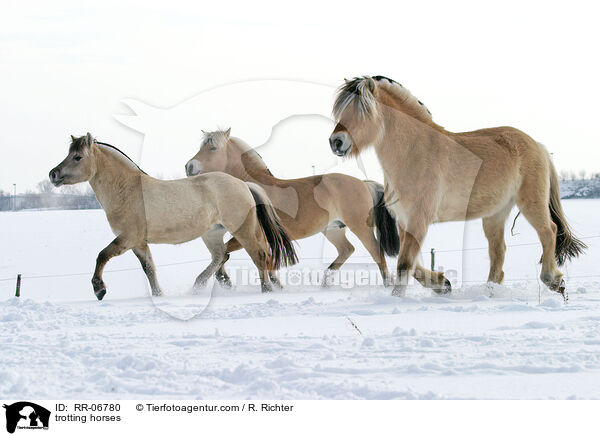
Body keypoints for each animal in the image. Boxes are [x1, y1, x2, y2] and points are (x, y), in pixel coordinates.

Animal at [49, 133, 298, 300]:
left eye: (78, 157)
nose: (53, 174)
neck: (127, 190)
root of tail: (244, 184)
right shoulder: (139, 243)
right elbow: (149, 268)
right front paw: (159, 295)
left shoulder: (127, 238)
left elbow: (102, 255)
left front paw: (99, 289)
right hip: (213, 234)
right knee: (221, 256)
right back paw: (197, 287)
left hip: (242, 230)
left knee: (259, 255)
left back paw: (265, 290)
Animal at [183, 127, 398, 288]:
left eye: (213, 148)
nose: (189, 167)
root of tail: (364, 183)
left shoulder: (251, 234)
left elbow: (224, 253)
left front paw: (217, 280)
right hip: (333, 229)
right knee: (347, 249)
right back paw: (326, 282)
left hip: (360, 227)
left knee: (376, 252)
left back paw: (388, 285)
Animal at [328, 76, 584, 298]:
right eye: (340, 111)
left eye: (362, 111)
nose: (336, 142)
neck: (413, 152)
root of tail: (537, 145)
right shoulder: (404, 220)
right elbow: (412, 264)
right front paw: (442, 284)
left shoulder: (419, 218)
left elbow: (404, 263)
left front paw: (396, 298)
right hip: (495, 214)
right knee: (498, 252)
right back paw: (490, 292)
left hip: (531, 202)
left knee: (548, 231)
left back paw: (554, 281)